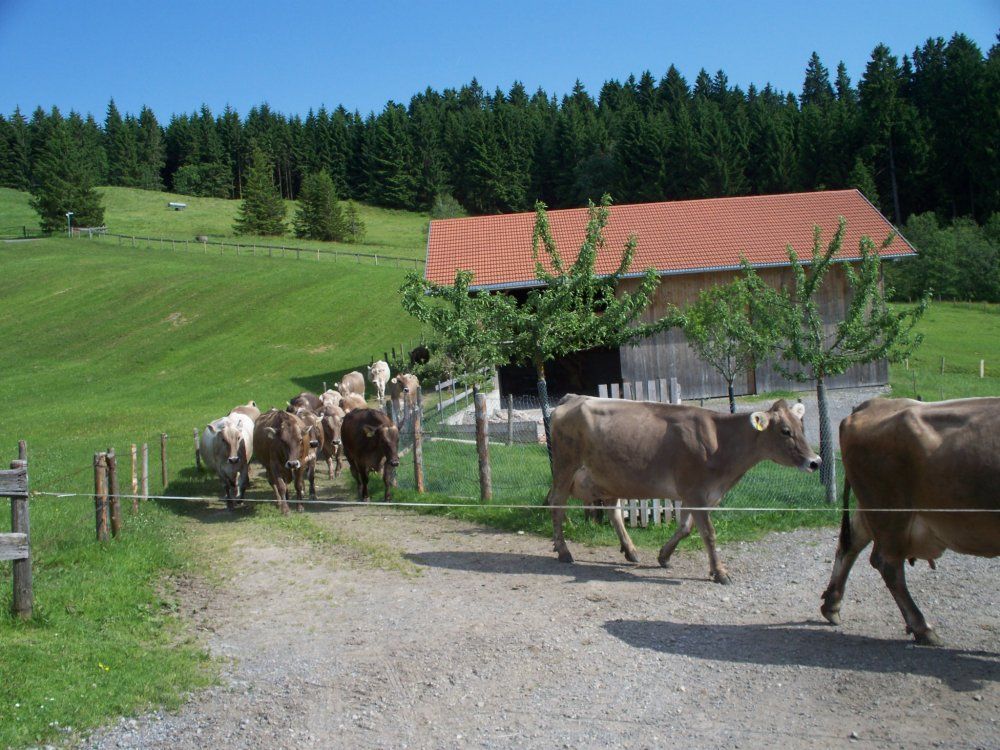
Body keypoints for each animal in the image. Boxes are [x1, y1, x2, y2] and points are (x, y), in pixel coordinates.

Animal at [544, 395, 820, 583]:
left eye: (801, 427)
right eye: (785, 431)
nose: (815, 461)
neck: (721, 442)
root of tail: (573, 398)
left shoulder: (694, 494)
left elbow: (686, 528)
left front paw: (664, 556)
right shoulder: (697, 492)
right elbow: (708, 533)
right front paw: (720, 572)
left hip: (608, 477)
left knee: (613, 511)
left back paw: (631, 551)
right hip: (565, 467)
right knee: (557, 504)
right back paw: (564, 551)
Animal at [820, 397, 1000, 645]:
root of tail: (872, 404)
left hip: (871, 508)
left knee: (850, 545)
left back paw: (831, 606)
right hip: (891, 511)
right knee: (887, 564)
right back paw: (922, 628)